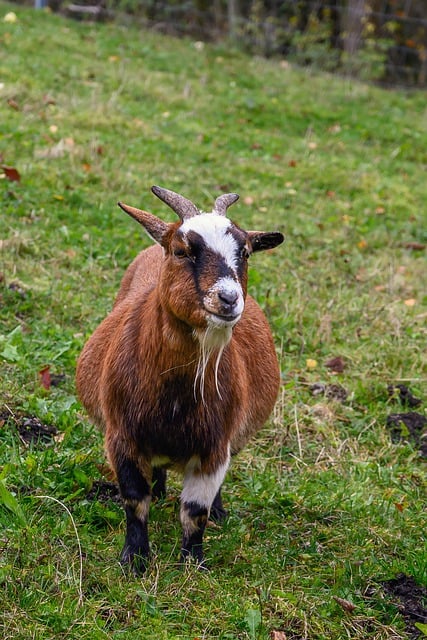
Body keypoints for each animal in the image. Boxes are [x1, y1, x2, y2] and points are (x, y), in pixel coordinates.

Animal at [77, 186, 284, 576]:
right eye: (181, 250)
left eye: (246, 252)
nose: (228, 298)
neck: (175, 399)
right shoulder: (122, 437)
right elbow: (135, 501)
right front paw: (135, 560)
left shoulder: (214, 447)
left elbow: (194, 511)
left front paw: (193, 563)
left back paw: (218, 511)